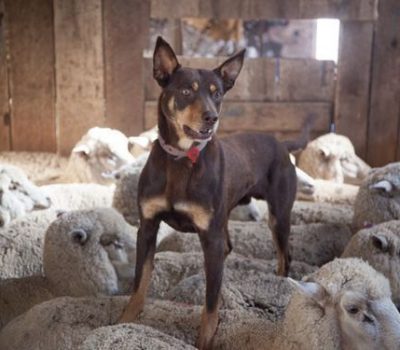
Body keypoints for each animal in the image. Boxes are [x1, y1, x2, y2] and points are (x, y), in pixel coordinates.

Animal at [119, 37, 306, 348]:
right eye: (185, 91)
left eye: (217, 94)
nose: (211, 117)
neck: (182, 159)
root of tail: (282, 144)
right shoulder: (147, 226)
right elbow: (140, 279)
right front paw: (126, 319)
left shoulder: (209, 235)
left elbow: (209, 300)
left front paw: (206, 338)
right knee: (229, 249)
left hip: (278, 215)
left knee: (284, 255)